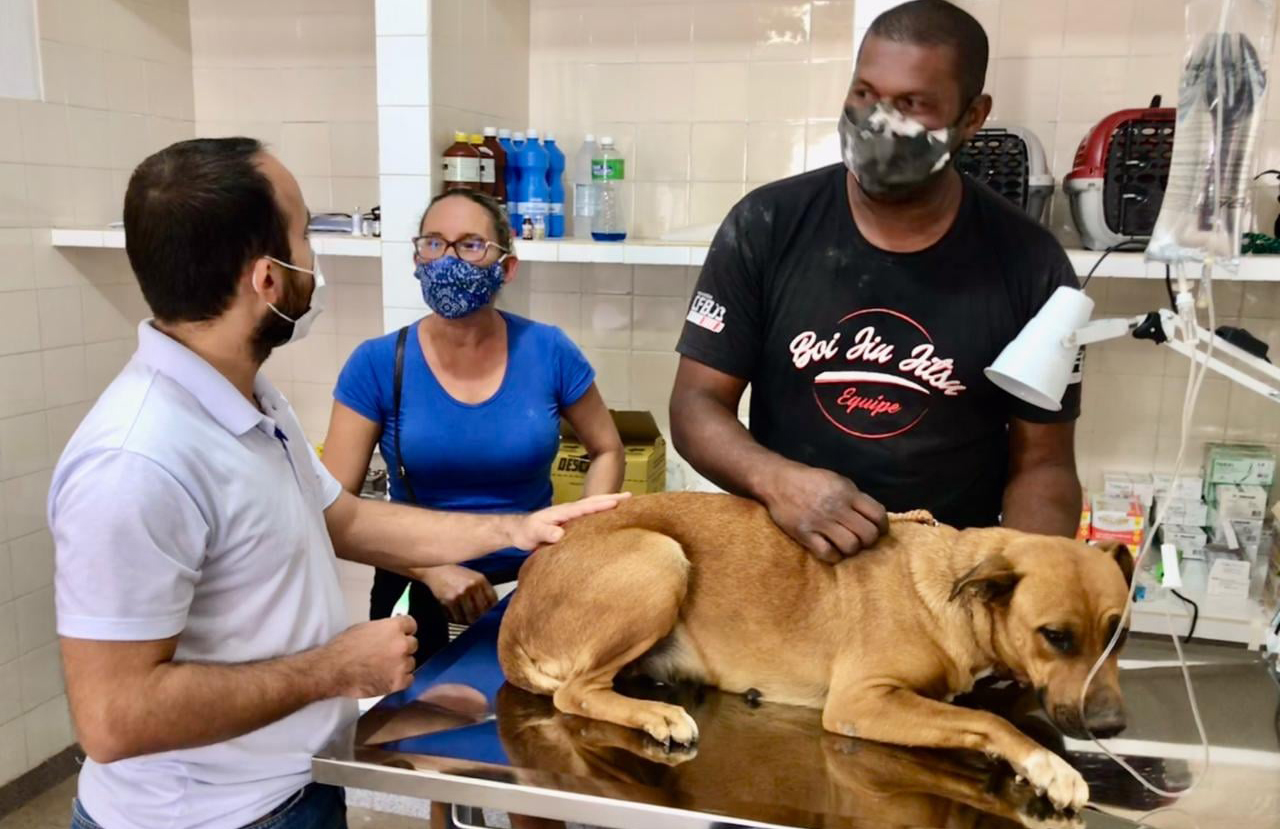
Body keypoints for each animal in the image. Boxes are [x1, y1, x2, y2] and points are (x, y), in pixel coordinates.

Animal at [498, 492, 1134, 812]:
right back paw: (658, 715)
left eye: (1120, 634)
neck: (953, 589)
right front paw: (1050, 766)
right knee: (577, 693)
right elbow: (989, 721)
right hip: (660, 557)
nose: (1112, 726)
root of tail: (520, 602)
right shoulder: (862, 702)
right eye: (1055, 636)